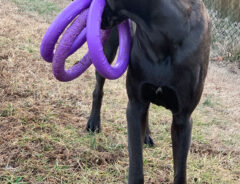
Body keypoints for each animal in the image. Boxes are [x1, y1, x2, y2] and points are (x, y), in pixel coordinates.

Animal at [85, 0, 211, 183]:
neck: (162, 31)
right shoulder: (135, 105)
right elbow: (136, 165)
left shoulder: (183, 118)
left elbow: (180, 170)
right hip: (108, 50)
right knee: (98, 90)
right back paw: (94, 122)